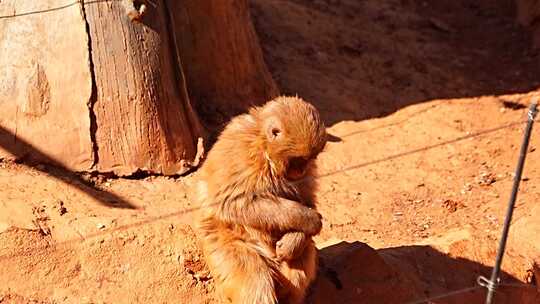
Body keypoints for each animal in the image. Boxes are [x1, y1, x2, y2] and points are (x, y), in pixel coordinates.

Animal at [196, 95, 326, 304]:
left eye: (308, 159)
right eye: (298, 160)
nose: (301, 170)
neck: (264, 146)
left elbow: (307, 199)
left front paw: (295, 239)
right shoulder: (243, 152)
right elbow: (232, 203)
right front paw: (309, 219)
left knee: (298, 268)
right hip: (222, 246)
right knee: (254, 279)